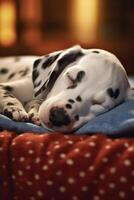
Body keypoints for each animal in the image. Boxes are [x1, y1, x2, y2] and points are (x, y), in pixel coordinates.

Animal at [0, 45, 133, 133]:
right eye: (71, 77)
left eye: (99, 104)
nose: (58, 116)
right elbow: (7, 94)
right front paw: (15, 108)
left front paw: (34, 110)